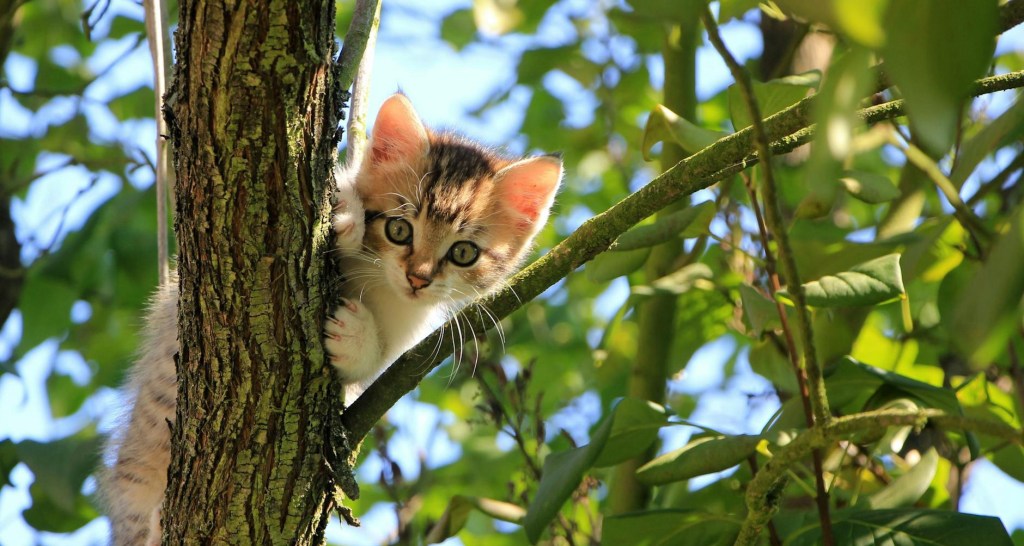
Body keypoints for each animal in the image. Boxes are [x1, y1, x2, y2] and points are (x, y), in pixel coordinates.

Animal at [99, 93, 562, 545]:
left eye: (463, 252)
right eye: (399, 229)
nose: (418, 278)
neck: (378, 283)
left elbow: (374, 364)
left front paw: (355, 337)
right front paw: (344, 212)